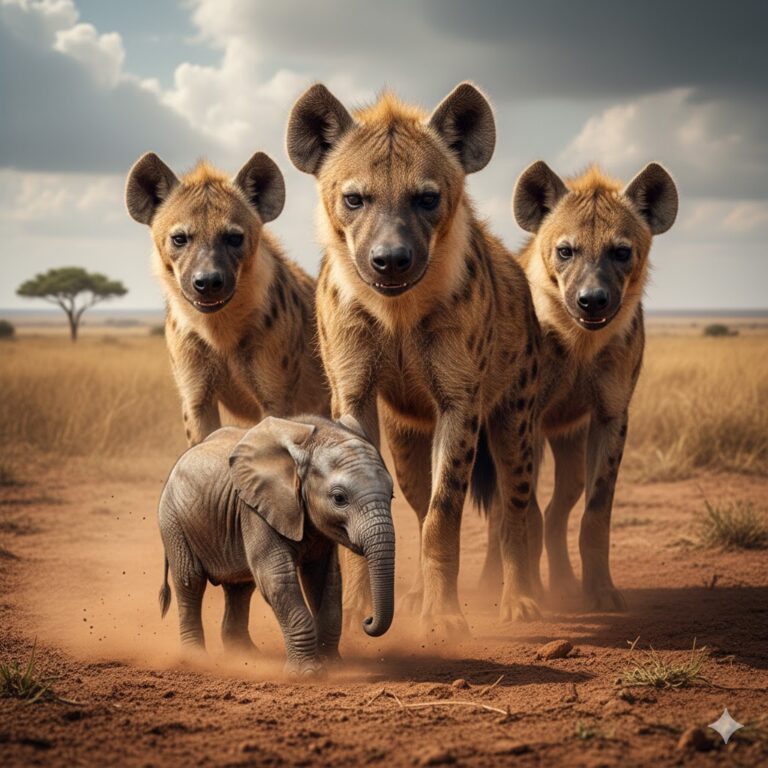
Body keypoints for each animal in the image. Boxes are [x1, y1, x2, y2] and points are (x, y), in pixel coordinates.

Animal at [157, 414, 395, 676]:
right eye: (339, 498)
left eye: (392, 495)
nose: (367, 621)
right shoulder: (254, 509)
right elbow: (277, 578)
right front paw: (307, 675)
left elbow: (326, 580)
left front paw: (334, 667)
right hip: (173, 519)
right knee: (190, 580)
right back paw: (197, 660)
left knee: (240, 587)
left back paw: (246, 657)